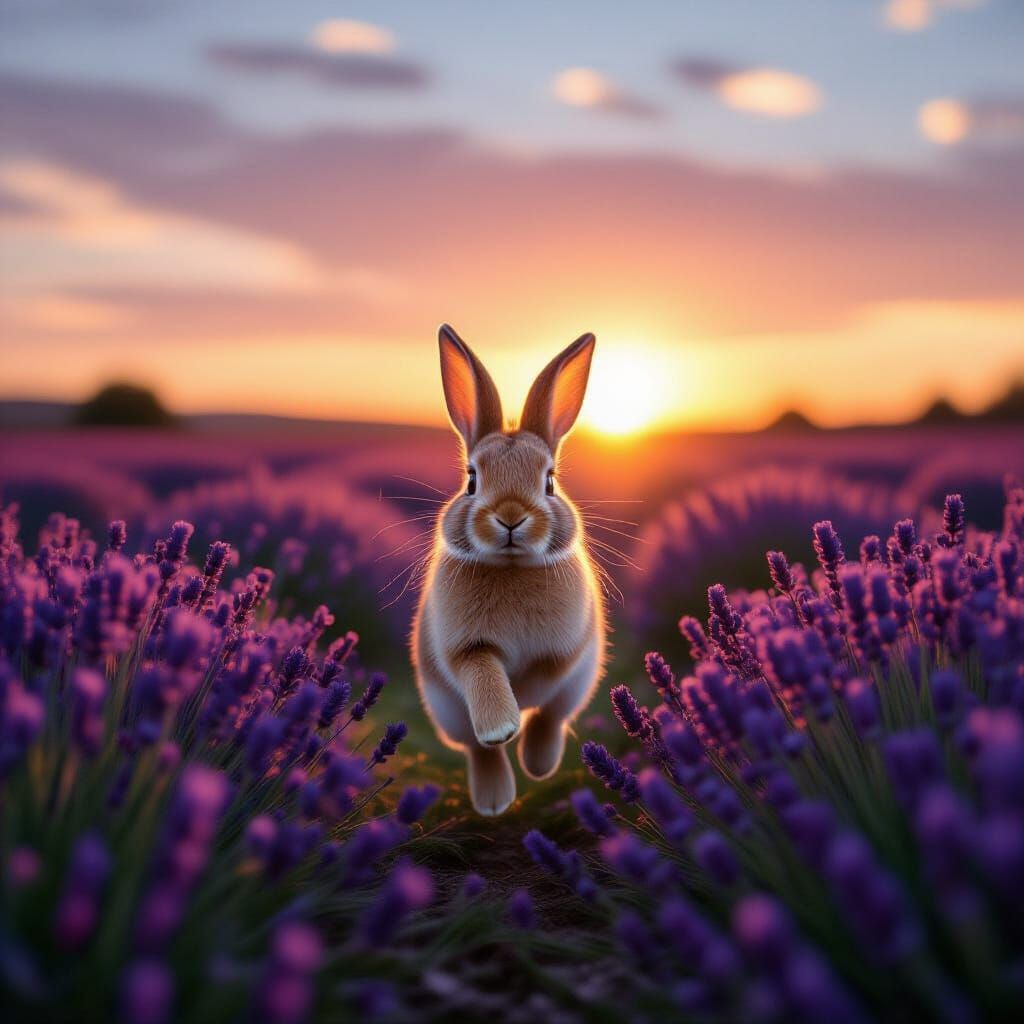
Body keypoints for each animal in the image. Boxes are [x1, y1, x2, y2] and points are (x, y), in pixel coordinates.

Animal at [411, 324, 606, 816]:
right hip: (447, 710)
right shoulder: (464, 648)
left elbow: (546, 683)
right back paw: (495, 801)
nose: (511, 516)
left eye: (550, 481)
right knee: (477, 749)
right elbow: (483, 673)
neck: (513, 567)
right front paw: (503, 724)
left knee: (553, 718)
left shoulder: (568, 650)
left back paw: (537, 764)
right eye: (471, 480)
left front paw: (522, 710)